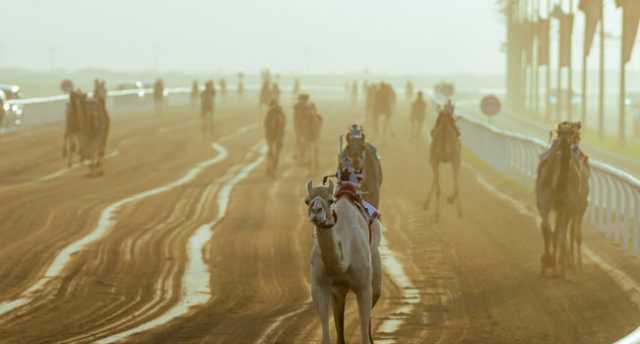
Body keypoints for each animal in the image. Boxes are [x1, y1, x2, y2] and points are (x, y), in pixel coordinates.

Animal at [304, 177, 380, 344]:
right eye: (307, 201)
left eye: (330, 200)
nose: (316, 212)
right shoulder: (319, 286)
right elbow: (326, 337)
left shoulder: (363, 287)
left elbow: (364, 337)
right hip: (338, 290)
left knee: (375, 296)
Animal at [536, 122, 592, 278]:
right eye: (561, 132)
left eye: (574, 134)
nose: (569, 145)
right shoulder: (552, 205)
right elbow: (555, 231)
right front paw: (552, 262)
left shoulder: (565, 206)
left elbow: (561, 233)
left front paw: (560, 265)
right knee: (560, 231)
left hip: (560, 205)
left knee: (557, 230)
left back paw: (558, 263)